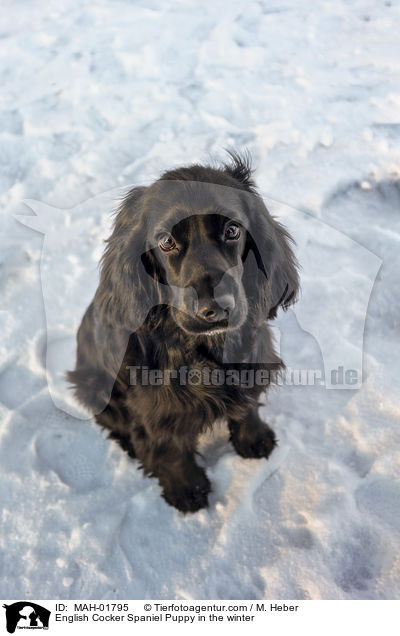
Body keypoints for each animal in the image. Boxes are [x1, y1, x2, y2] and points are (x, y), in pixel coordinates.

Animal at [69, 153, 298, 512]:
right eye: (166, 241)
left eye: (232, 230)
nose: (216, 308)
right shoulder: (155, 404)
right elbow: (168, 446)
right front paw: (186, 489)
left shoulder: (253, 363)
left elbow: (247, 406)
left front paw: (254, 439)